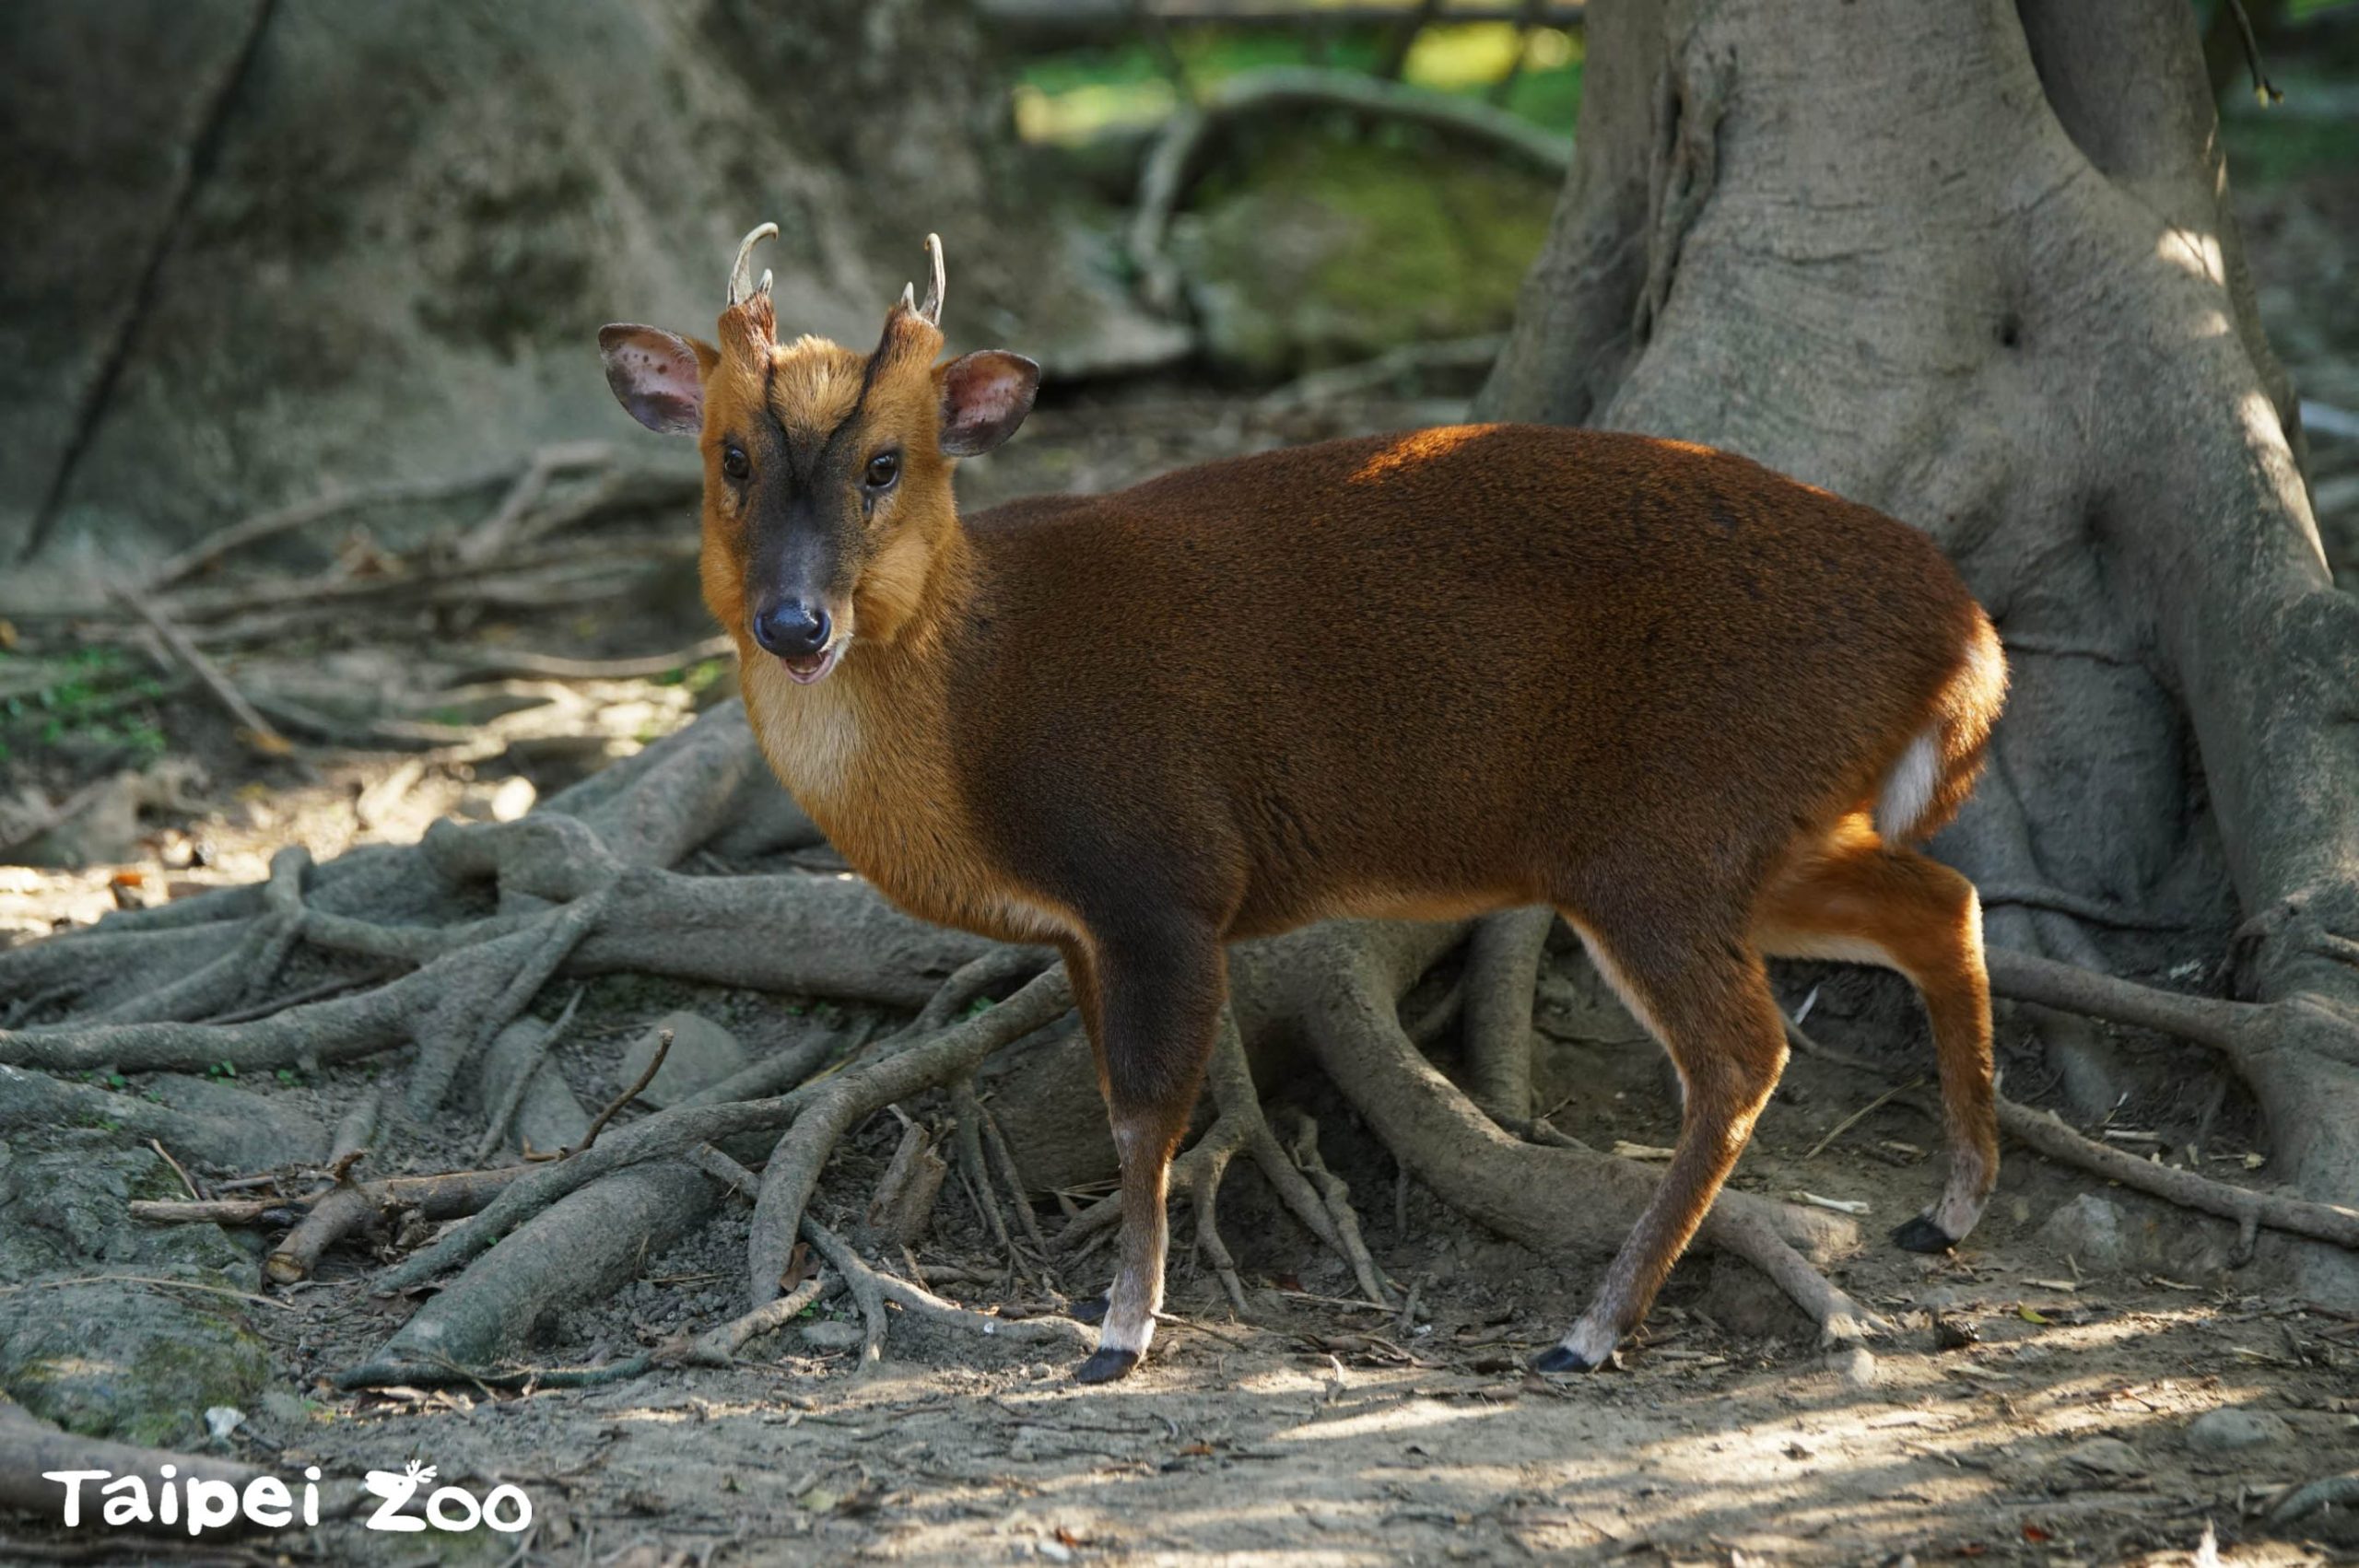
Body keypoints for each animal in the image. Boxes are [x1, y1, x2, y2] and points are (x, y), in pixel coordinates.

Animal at [604, 222, 2010, 1386]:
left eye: (887, 463)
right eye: (731, 455)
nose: (797, 623)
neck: (972, 714)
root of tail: (1968, 635)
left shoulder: (1164, 874)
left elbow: (1148, 1112)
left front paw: (1120, 1331)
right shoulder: (1082, 925)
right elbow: (1123, 1097)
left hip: (1668, 832)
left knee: (1746, 1049)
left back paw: (1590, 1328)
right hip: (1764, 827)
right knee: (1941, 898)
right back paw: (1945, 1210)